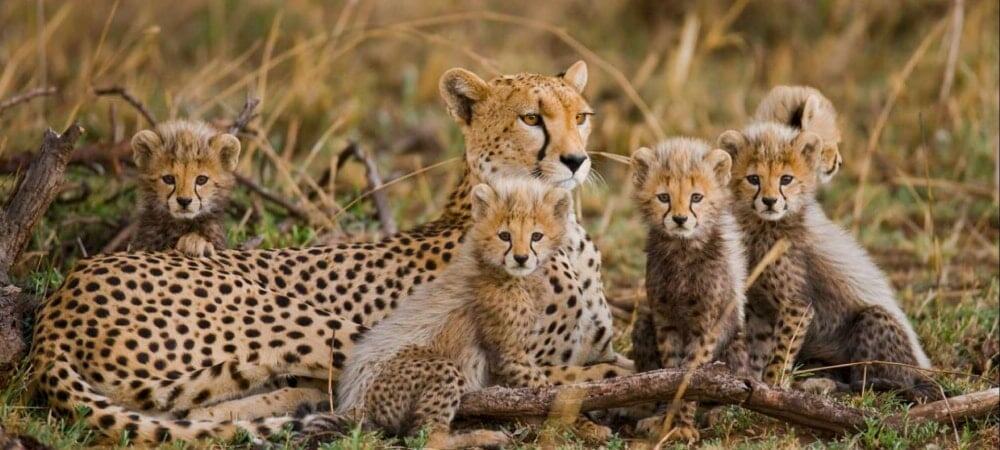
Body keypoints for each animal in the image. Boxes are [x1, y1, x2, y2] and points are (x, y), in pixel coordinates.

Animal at [628, 138, 748, 443]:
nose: (680, 219)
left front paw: (682, 424)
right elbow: (670, 371)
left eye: (696, 197)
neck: (682, 250)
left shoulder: (705, 325)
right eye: (663, 197)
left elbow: (691, 375)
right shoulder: (664, 318)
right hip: (643, 323)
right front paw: (666, 420)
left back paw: (720, 412)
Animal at [717, 122, 939, 402]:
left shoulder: (798, 306)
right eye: (753, 179)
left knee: (870, 384)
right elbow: (759, 348)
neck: (764, 226)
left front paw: (773, 386)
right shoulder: (761, 307)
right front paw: (753, 383)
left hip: (874, 323)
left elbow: (781, 352)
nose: (769, 201)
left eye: (786, 179)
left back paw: (824, 385)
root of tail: (924, 370)